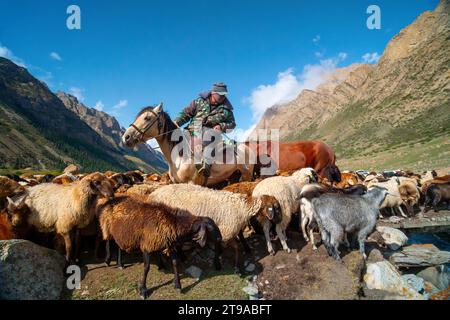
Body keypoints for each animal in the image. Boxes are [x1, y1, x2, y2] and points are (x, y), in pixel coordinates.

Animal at [149, 182, 284, 272]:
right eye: (277, 208)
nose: (280, 221)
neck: (242, 207)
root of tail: (153, 194)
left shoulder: (222, 231)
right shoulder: (225, 232)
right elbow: (235, 248)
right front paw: (231, 266)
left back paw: (182, 257)